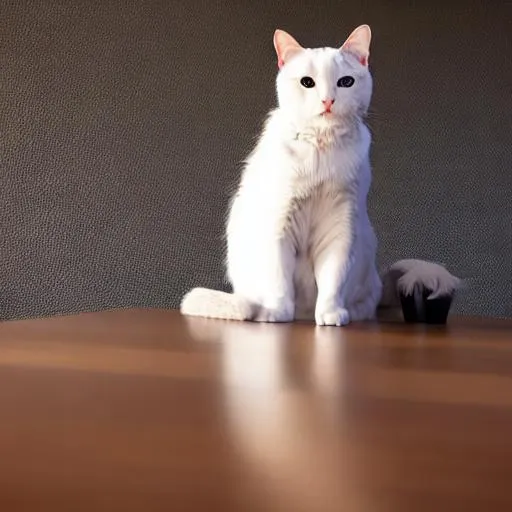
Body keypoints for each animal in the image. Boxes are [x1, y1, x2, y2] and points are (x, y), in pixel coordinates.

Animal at [181, 24, 460, 326]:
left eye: (346, 82)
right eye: (307, 82)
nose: (328, 100)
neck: (320, 150)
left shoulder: (340, 226)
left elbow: (332, 280)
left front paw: (330, 314)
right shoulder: (279, 225)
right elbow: (279, 282)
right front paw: (277, 313)